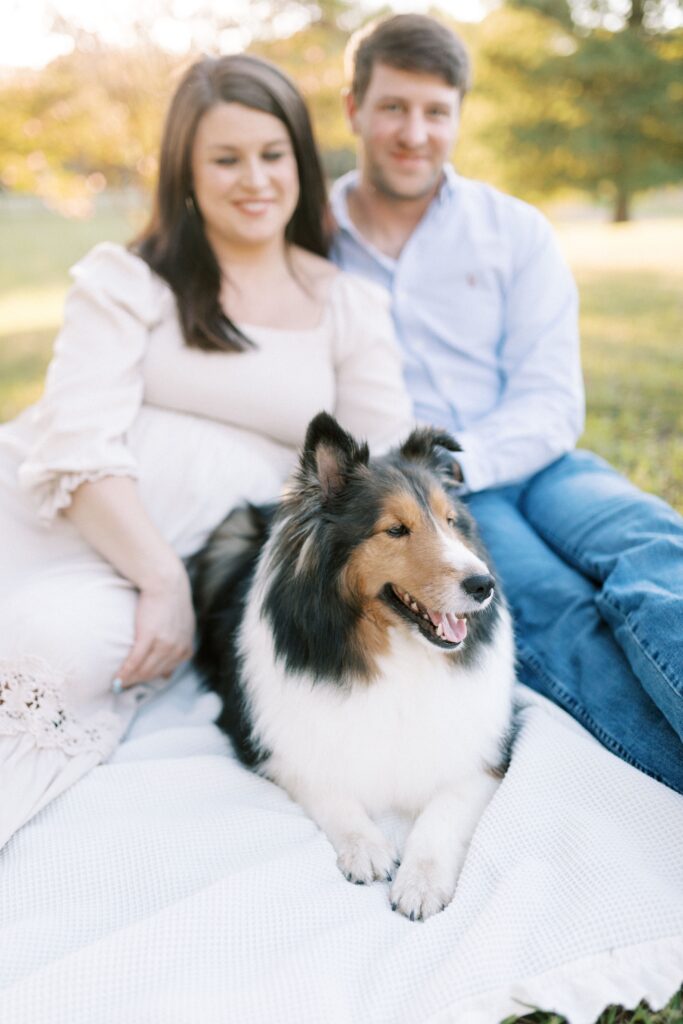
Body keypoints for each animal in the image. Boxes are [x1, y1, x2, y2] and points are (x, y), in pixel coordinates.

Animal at [189, 411, 516, 925]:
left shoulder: (485, 754)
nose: (483, 585)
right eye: (395, 530)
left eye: (450, 522)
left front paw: (421, 883)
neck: (398, 654)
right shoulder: (271, 742)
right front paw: (366, 847)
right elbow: (327, 788)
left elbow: (443, 812)